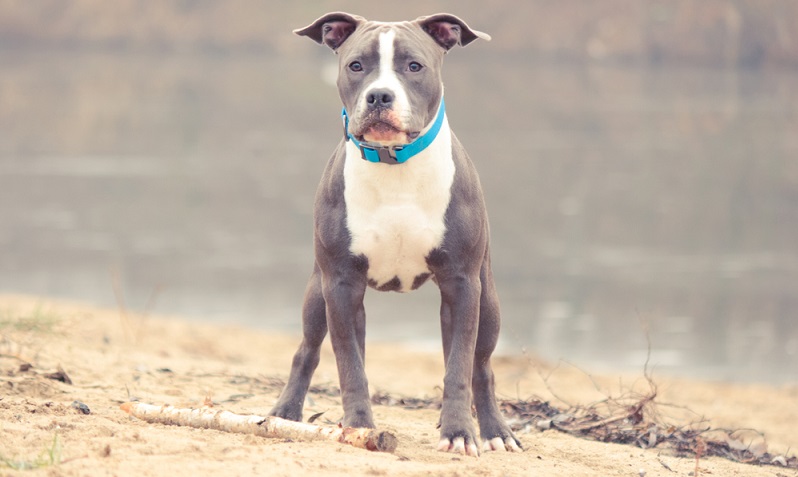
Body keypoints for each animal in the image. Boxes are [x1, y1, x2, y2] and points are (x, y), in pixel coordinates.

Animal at [270, 13, 524, 456]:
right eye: (356, 66)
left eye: (414, 66)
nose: (379, 96)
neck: (395, 166)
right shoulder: (341, 284)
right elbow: (350, 366)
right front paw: (359, 427)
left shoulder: (462, 283)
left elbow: (459, 365)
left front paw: (459, 431)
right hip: (317, 294)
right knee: (307, 350)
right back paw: (286, 413)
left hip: (487, 300)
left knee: (481, 365)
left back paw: (494, 429)